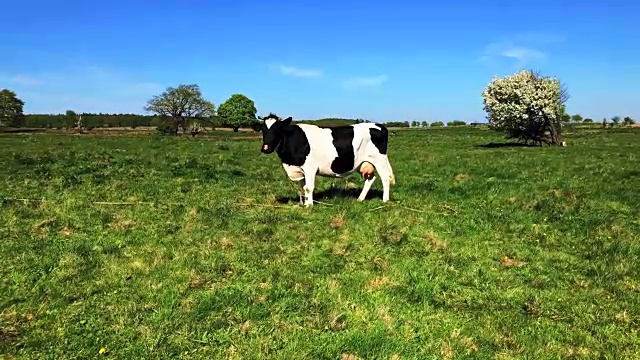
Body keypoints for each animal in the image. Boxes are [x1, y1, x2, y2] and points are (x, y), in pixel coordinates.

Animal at [251, 114, 396, 207]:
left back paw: (385, 200)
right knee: (370, 179)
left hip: (379, 160)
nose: (265, 148)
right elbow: (302, 187)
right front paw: (304, 203)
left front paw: (309, 206)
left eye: (278, 129)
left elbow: (309, 188)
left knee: (385, 178)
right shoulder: (300, 169)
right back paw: (360, 199)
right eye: (263, 130)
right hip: (362, 163)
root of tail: (380, 125)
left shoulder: (310, 168)